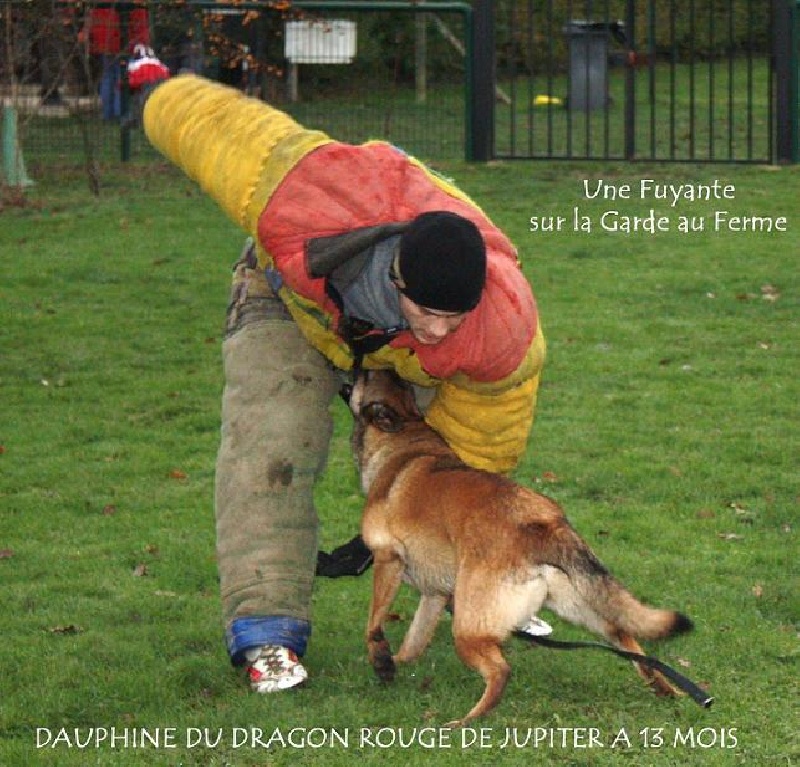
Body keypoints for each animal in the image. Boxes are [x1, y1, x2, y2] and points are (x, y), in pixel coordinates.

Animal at [347, 369, 693, 727]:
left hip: (469, 628)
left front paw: (381, 660)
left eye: (367, 375)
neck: (405, 429)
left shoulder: (387, 559)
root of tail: (546, 523)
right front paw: (397, 662)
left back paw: (467, 720)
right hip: (580, 606)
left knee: (500, 671)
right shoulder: (435, 595)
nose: (353, 367)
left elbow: (374, 621)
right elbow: (415, 640)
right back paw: (667, 689)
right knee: (627, 637)